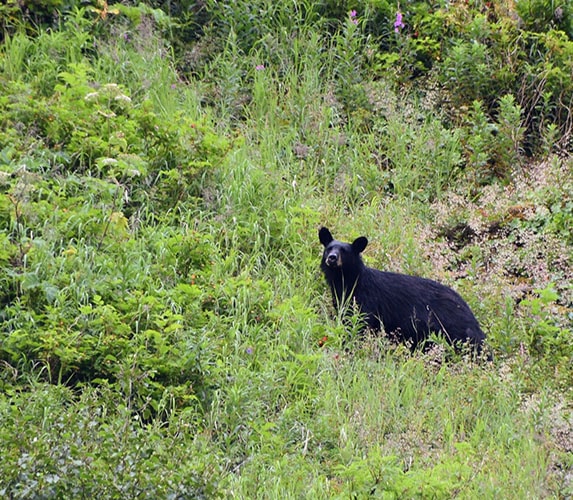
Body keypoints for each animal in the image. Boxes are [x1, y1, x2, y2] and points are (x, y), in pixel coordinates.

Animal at [320, 227, 484, 356]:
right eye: (328, 248)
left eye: (344, 251)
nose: (332, 258)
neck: (346, 282)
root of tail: (469, 311)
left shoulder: (367, 301)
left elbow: (361, 325)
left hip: (449, 327)